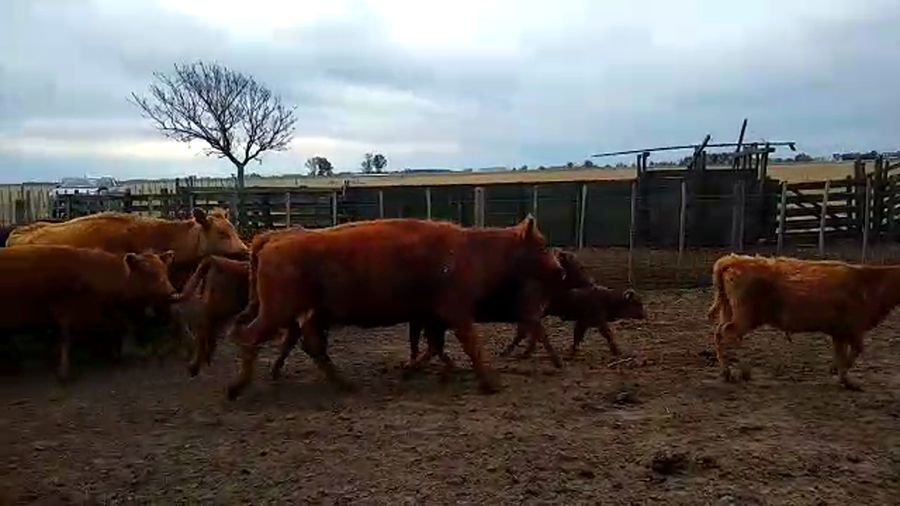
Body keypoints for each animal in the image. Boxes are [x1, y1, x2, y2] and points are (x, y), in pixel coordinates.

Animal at [0, 245, 177, 381]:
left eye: (165, 270)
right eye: (148, 273)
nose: (171, 292)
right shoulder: (64, 310)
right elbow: (65, 337)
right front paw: (63, 372)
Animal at [226, 215, 566, 400]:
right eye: (541, 245)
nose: (559, 268)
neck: (472, 250)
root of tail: (272, 238)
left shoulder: (432, 317)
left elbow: (434, 346)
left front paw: (418, 369)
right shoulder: (457, 313)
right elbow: (471, 346)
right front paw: (491, 383)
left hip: (313, 312)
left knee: (311, 344)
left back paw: (345, 384)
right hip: (278, 311)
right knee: (251, 337)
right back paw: (236, 387)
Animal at [707, 253, 900, 390]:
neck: (869, 283)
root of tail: (733, 260)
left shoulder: (839, 332)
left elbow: (842, 353)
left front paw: (839, 374)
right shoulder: (853, 328)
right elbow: (856, 350)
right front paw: (847, 379)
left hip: (729, 311)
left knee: (721, 333)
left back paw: (729, 372)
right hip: (746, 316)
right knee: (729, 334)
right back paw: (740, 371)